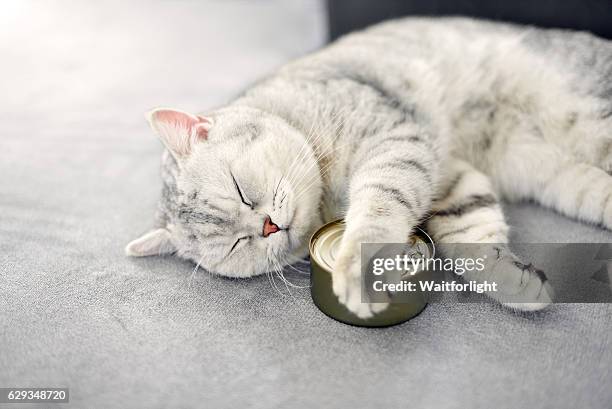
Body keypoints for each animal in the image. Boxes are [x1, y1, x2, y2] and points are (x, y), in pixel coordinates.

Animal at [124, 17, 612, 318]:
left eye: (240, 189)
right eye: (234, 245)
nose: (268, 227)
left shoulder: (394, 141)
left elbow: (378, 208)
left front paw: (358, 268)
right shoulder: (451, 180)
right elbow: (473, 239)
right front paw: (515, 283)